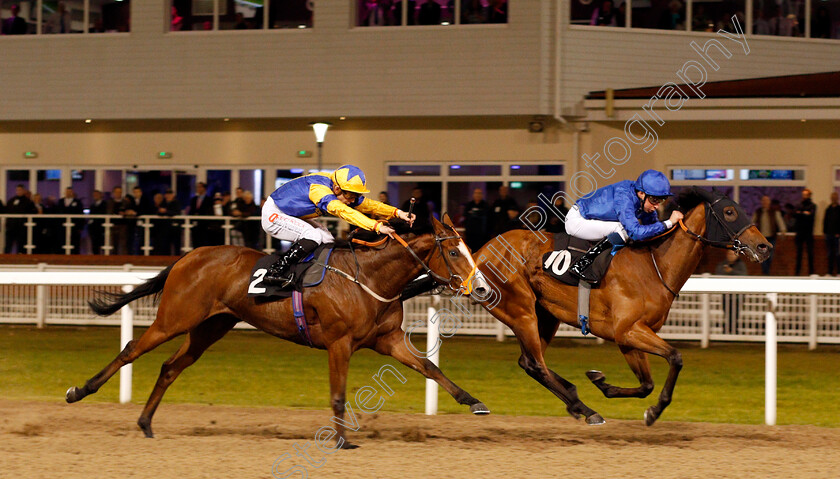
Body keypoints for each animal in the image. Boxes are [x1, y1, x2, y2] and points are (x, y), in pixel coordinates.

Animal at [65, 216, 492, 448]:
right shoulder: (339, 343)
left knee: (170, 367)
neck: (369, 277)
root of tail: (189, 256)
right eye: (453, 252)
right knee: (132, 348)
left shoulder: (386, 340)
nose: (483, 288)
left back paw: (146, 424)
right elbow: (338, 395)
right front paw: (342, 440)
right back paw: (79, 391)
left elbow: (431, 369)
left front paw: (474, 402)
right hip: (176, 318)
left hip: (210, 327)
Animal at [470, 188, 772, 428]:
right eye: (730, 212)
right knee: (535, 364)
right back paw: (585, 409)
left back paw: (574, 396)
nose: (764, 246)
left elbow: (646, 384)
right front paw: (654, 412)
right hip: (521, 311)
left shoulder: (630, 336)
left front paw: (601, 381)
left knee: (529, 362)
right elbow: (675, 357)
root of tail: (479, 253)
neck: (655, 266)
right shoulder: (627, 330)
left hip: (544, 314)